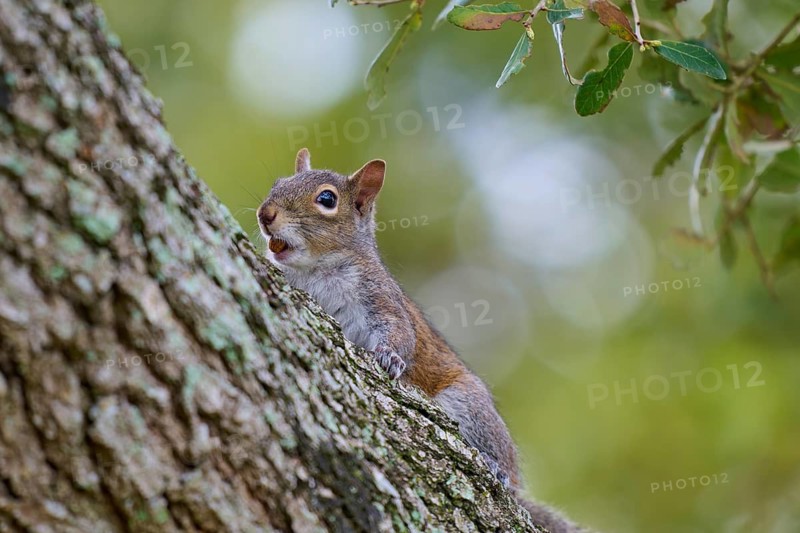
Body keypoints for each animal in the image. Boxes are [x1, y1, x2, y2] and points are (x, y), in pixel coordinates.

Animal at [257, 148, 589, 533]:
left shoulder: (381, 299)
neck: (314, 270)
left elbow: (400, 333)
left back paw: (499, 469)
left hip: (468, 402)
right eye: (277, 183)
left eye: (326, 199)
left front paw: (390, 357)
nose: (265, 214)